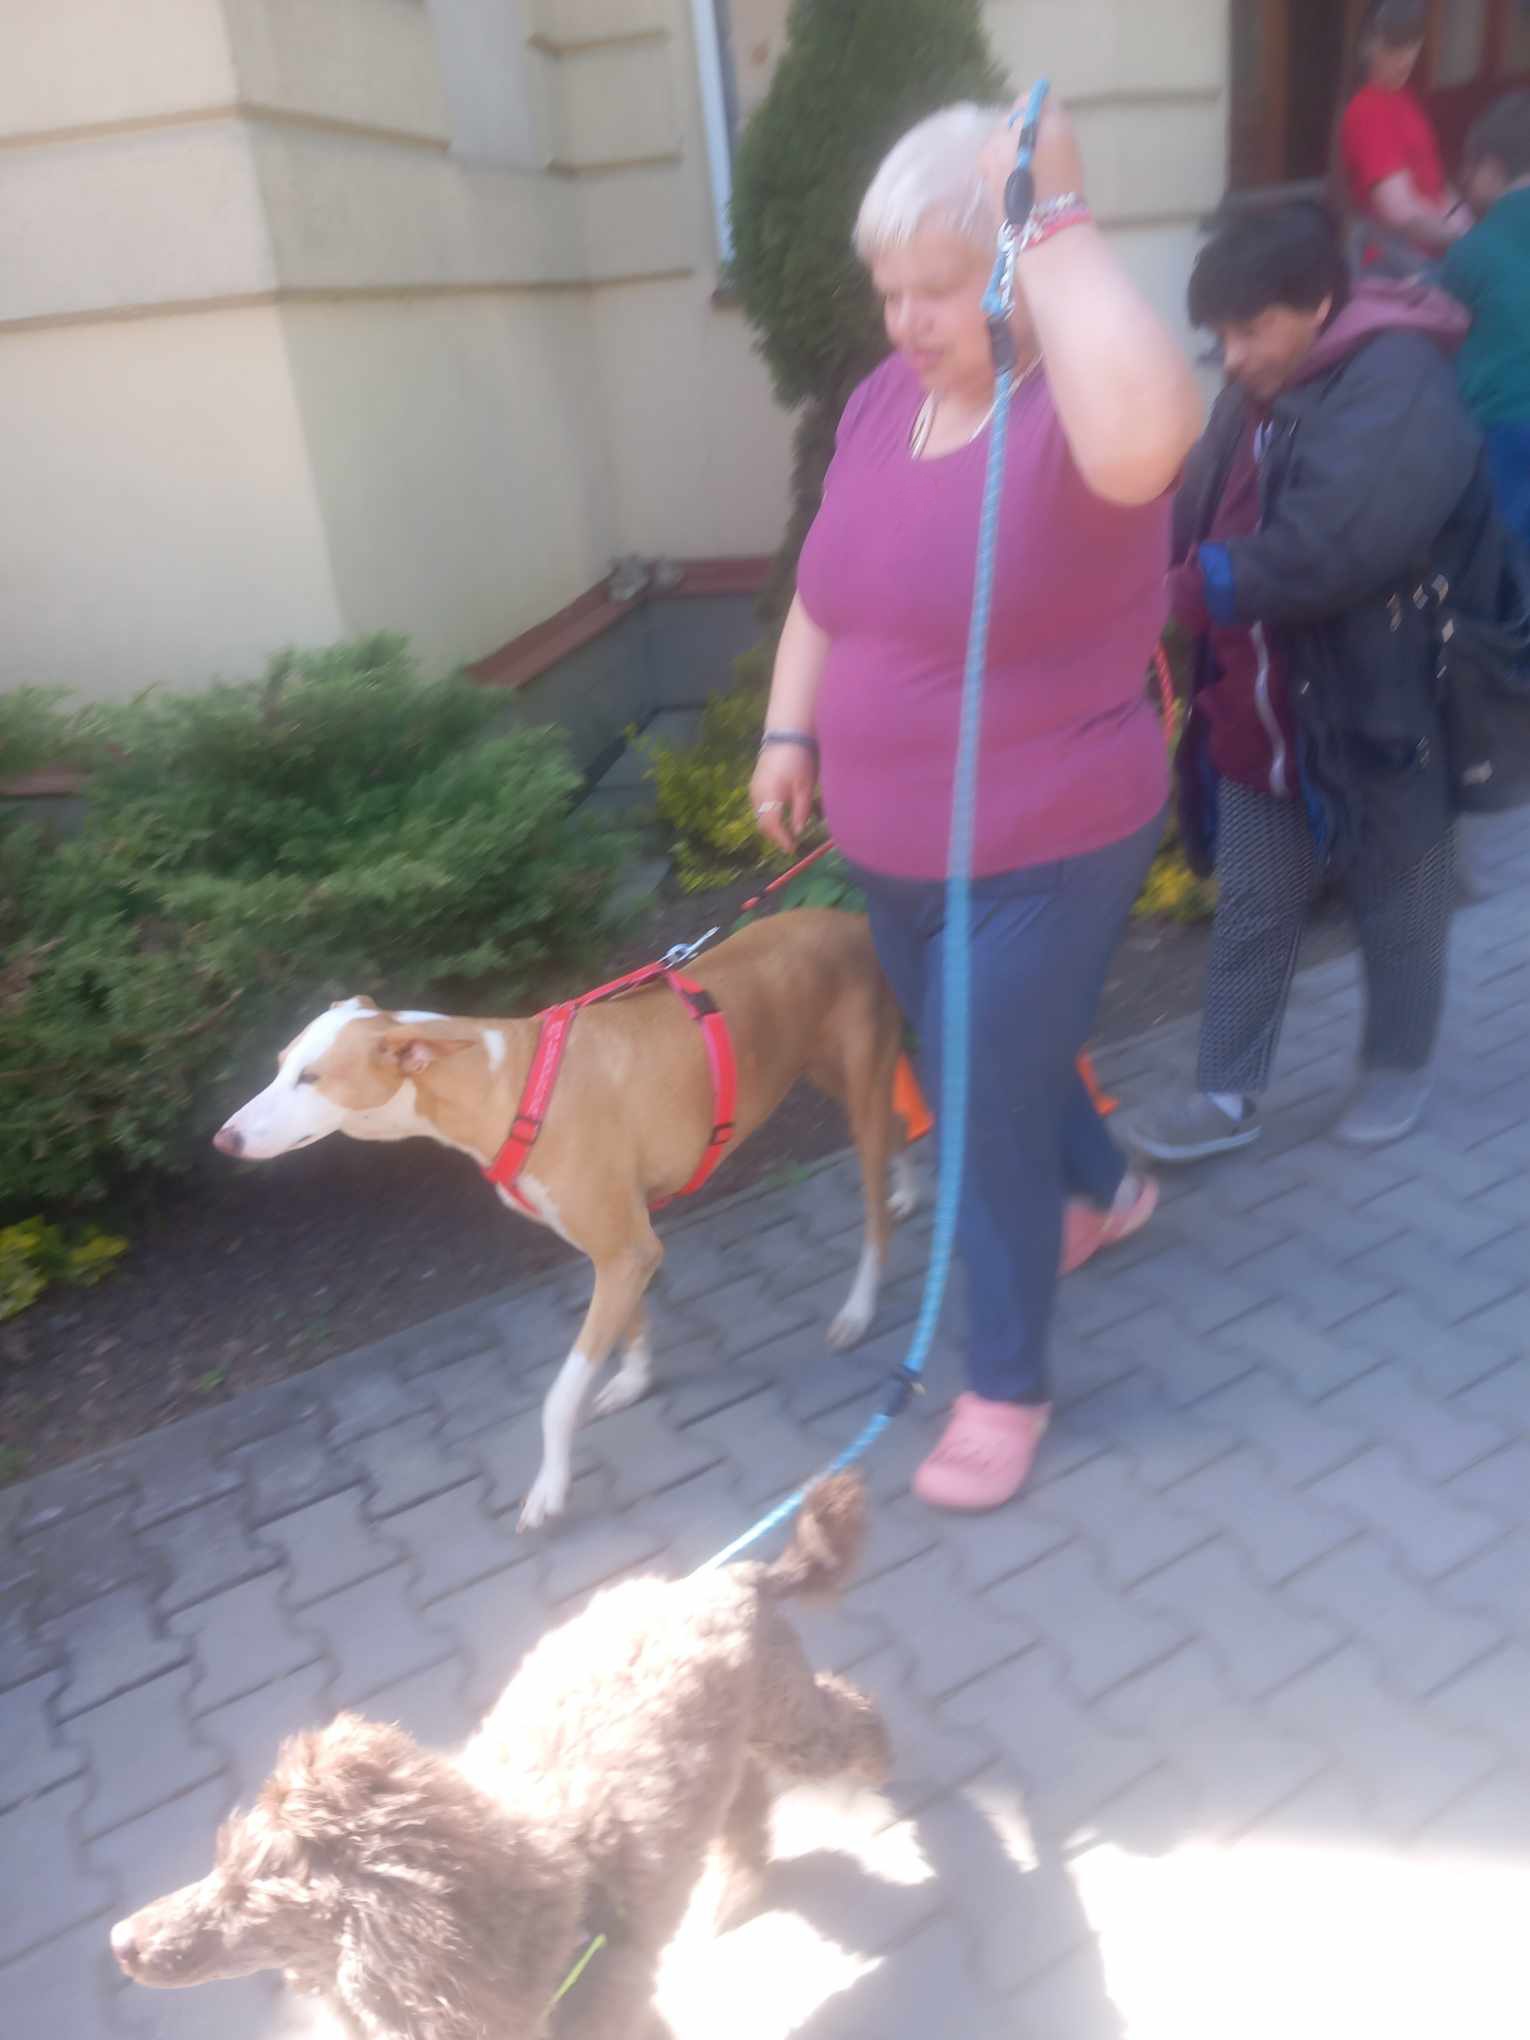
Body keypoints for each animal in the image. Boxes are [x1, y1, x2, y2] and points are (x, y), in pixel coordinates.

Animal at [110, 1474, 888, 2040]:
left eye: (246, 1893)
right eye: (218, 1865)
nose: (120, 1941)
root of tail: (729, 1581)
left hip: (786, 1715)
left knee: (853, 1721)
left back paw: (878, 1777)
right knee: (748, 1799)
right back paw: (741, 1886)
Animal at [214, 908, 919, 1529]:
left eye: (310, 1077)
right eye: (279, 1066)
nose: (224, 1139)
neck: (505, 1086)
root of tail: (849, 919)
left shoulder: (626, 1250)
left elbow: (557, 1399)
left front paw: (549, 1489)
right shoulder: (623, 1248)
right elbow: (632, 1324)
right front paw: (634, 1380)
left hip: (857, 1083)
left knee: (876, 1215)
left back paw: (860, 1304)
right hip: (832, 1076)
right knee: (903, 1125)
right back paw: (907, 1192)